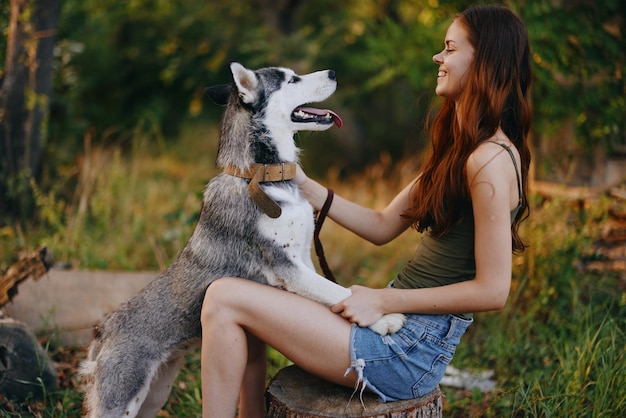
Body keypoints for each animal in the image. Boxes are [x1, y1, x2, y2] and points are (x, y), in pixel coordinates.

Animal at [80, 62, 404, 418]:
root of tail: (102, 331)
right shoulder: (285, 267)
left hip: (155, 394)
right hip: (123, 397)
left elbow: (331, 292)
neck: (261, 178)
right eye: (291, 80)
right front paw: (387, 319)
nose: (333, 72)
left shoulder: (303, 259)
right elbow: (337, 291)